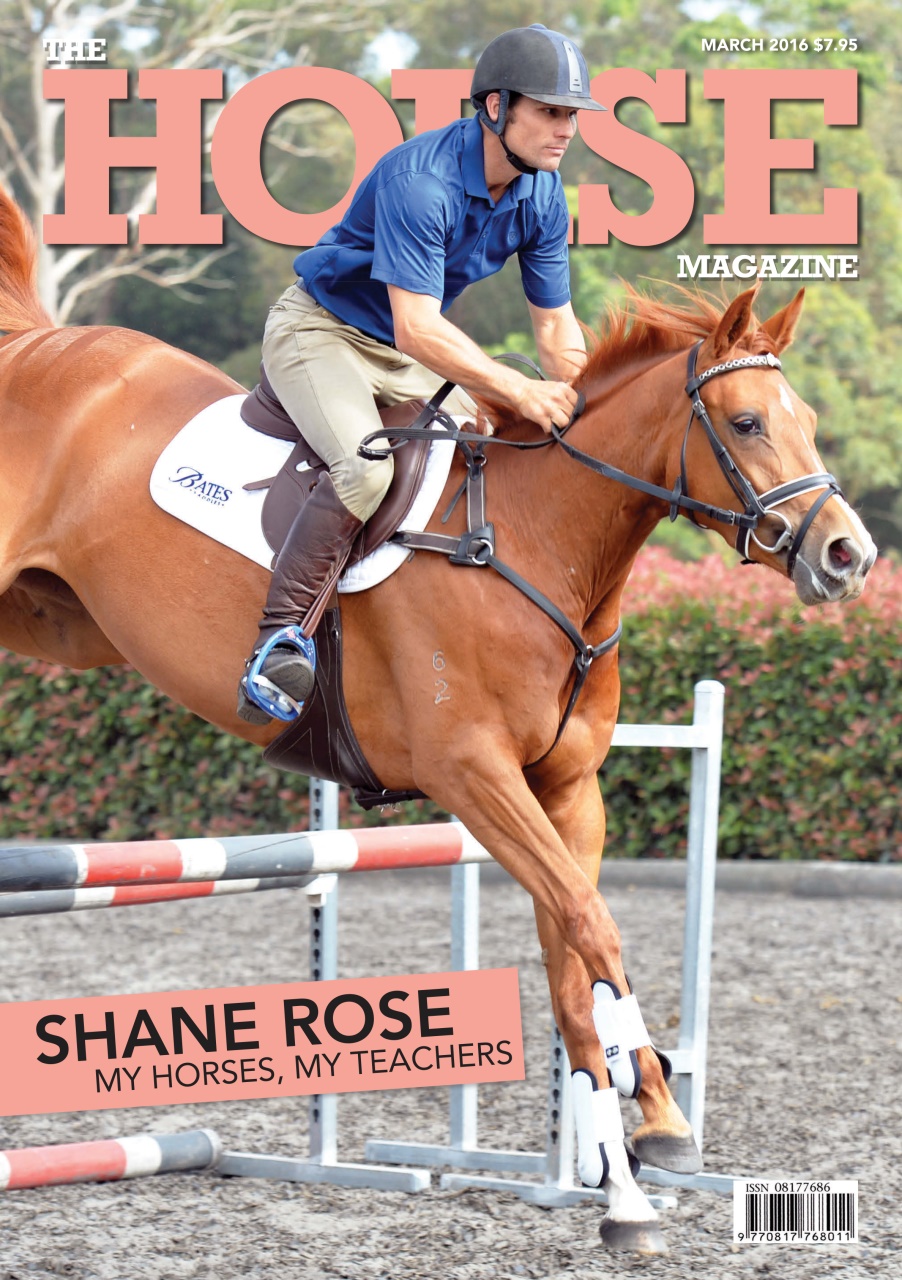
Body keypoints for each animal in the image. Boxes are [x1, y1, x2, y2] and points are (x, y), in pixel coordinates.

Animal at [0, 186, 876, 1254]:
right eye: (747, 421)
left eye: (808, 419)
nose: (848, 556)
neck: (541, 544)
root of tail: (36, 345)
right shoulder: (474, 777)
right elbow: (593, 924)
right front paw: (655, 1126)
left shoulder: (564, 790)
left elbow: (572, 957)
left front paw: (625, 1176)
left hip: (55, 624)